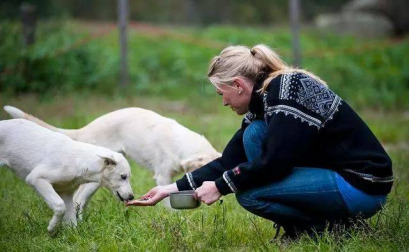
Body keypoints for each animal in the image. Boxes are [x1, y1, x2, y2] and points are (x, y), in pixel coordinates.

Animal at [0, 119, 135, 233]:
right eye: (123, 177)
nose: (132, 197)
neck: (79, 161)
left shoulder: (66, 193)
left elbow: (71, 221)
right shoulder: (36, 178)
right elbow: (60, 206)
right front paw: (51, 228)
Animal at [3, 105, 221, 210]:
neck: (180, 143)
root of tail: (85, 130)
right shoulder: (162, 176)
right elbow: (167, 200)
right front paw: (174, 217)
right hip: (95, 179)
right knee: (78, 198)